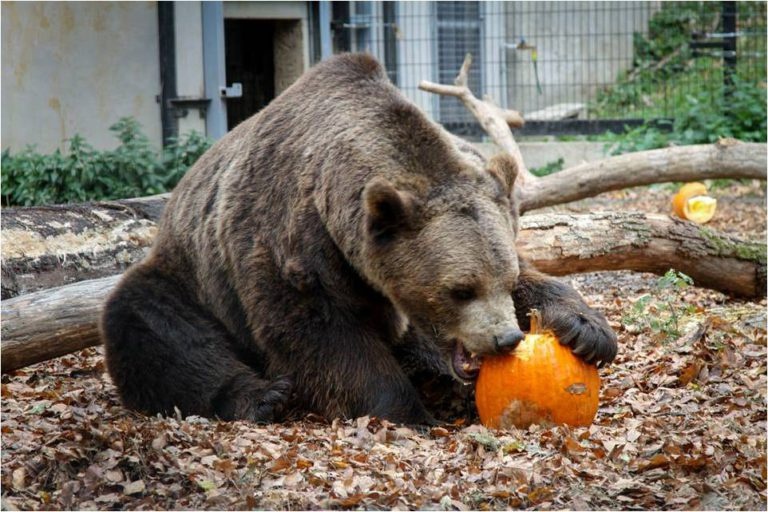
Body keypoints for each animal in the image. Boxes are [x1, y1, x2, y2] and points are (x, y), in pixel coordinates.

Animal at [102, 54, 616, 426]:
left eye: (501, 282)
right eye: (459, 289)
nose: (505, 338)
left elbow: (540, 277)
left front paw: (586, 331)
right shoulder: (292, 245)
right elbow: (322, 336)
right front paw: (408, 412)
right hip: (191, 277)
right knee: (152, 324)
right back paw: (262, 396)